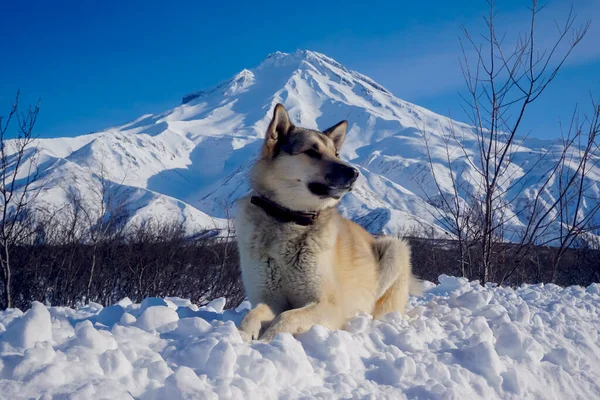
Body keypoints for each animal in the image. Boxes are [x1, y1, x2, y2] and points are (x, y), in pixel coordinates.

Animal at [234, 103, 422, 340]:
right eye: (312, 152)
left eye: (336, 153)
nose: (354, 172)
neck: (290, 219)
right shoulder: (269, 298)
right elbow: (252, 315)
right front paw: (240, 337)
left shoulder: (328, 304)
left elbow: (287, 318)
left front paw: (269, 340)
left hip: (394, 249)